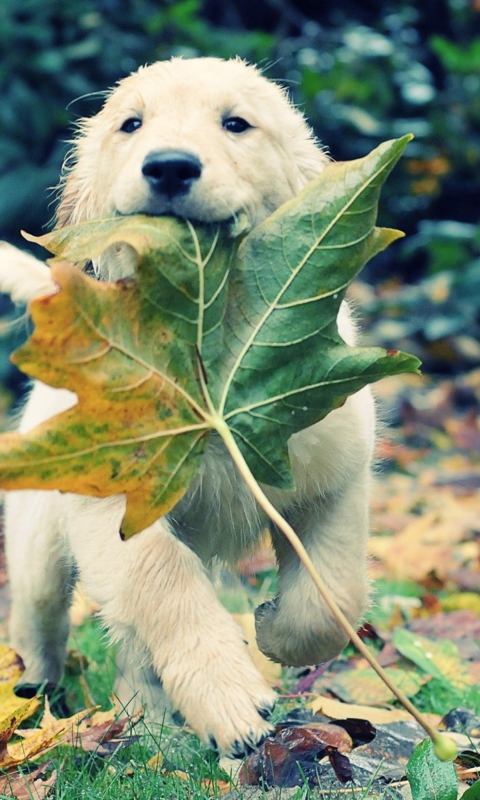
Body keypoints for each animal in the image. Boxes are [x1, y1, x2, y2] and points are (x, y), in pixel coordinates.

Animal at [0, 57, 376, 756]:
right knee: (41, 624)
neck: (206, 345)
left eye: (237, 124)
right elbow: (164, 581)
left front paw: (274, 630)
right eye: (131, 124)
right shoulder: (116, 504)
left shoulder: (335, 473)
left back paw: (146, 720)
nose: (170, 166)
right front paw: (229, 699)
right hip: (39, 539)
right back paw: (38, 701)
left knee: (130, 646)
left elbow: (332, 593)